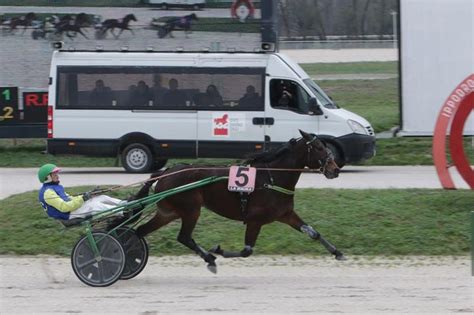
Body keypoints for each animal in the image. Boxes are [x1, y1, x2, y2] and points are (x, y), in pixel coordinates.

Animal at [137, 131, 344, 274]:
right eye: (319, 147)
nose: (335, 169)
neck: (271, 177)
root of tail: (164, 173)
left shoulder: (285, 214)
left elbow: (313, 233)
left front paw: (337, 253)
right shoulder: (255, 220)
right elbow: (246, 251)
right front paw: (218, 250)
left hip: (168, 212)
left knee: (141, 231)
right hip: (191, 209)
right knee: (184, 237)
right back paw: (210, 259)